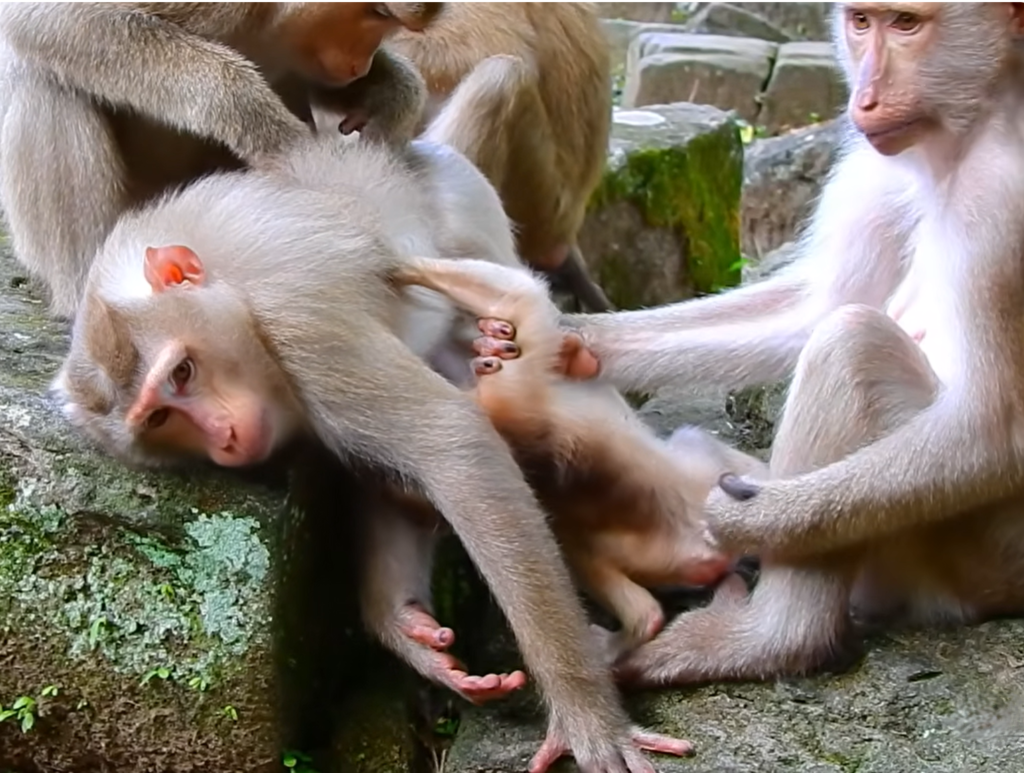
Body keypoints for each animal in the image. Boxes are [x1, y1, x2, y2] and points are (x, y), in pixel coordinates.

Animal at [0, 1, 441, 320]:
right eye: (378, 13)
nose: (360, 64)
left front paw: (390, 92)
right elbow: (48, 17)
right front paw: (245, 107)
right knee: (46, 78)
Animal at [52, 56, 692, 773]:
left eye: (182, 374)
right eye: (159, 421)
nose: (222, 439)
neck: (238, 299)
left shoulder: (302, 323)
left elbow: (453, 444)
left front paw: (588, 718)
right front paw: (403, 628)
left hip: (477, 225)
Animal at [390, 255, 765, 662]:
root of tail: (703, 547)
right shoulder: (518, 378)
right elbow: (521, 294)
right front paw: (400, 264)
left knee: (581, 550)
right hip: (699, 492)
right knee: (693, 442)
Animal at [468, 2, 1024, 690]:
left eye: (907, 26)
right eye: (862, 23)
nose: (864, 97)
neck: (968, 133)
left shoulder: (1002, 206)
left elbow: (993, 430)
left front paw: (749, 520)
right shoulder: (873, 163)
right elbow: (813, 305)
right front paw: (574, 339)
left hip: (977, 547)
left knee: (853, 346)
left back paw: (773, 640)